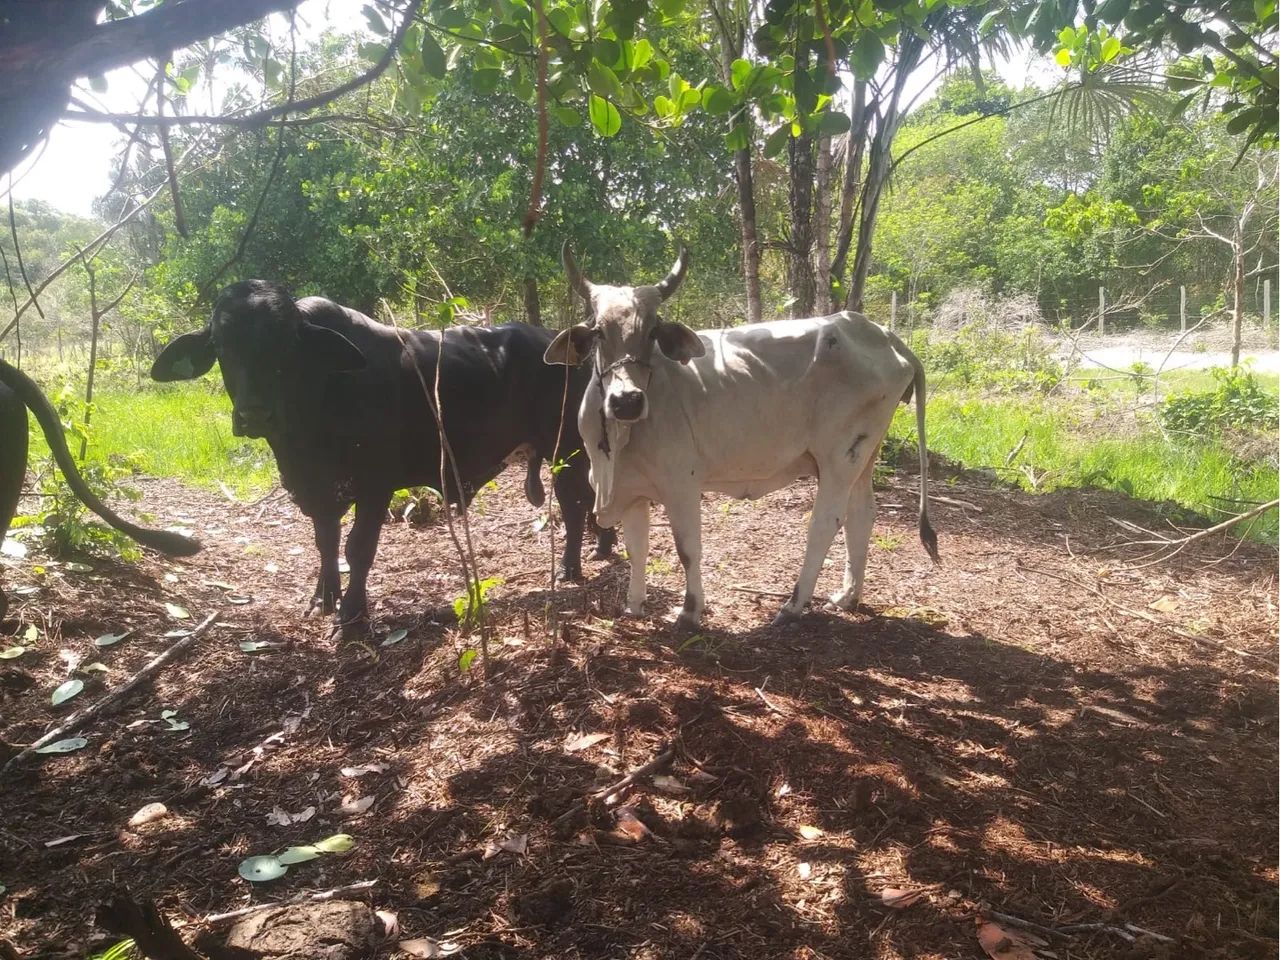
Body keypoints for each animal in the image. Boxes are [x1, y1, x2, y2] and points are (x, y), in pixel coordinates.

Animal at [150, 280, 615, 631]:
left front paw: (352, 617)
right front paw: (324, 598)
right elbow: (325, 544)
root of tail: (567, 345)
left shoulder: (374, 486)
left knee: (574, 506)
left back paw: (571, 567)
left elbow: (358, 548)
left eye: (287, 344)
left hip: (568, 451)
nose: (254, 413)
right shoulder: (320, 492)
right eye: (221, 345)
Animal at [543, 243, 938, 628]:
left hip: (839, 459)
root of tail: (885, 335)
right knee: (862, 514)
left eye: (653, 331)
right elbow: (636, 547)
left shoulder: (681, 484)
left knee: (826, 522)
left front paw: (690, 611)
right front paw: (633, 606)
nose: (627, 400)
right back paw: (847, 596)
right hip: (864, 454)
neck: (616, 441)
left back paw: (793, 606)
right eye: (598, 331)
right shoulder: (633, 490)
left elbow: (687, 549)